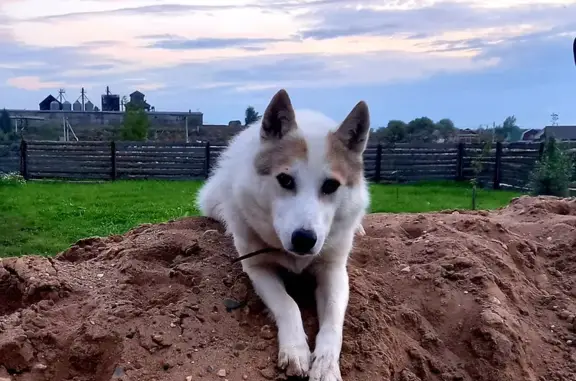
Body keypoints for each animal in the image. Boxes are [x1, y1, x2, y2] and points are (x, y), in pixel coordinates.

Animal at [196, 88, 372, 380]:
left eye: (331, 186)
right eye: (285, 180)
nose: (304, 239)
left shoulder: (334, 271)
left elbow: (333, 324)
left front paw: (326, 365)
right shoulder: (257, 268)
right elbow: (288, 304)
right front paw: (296, 350)